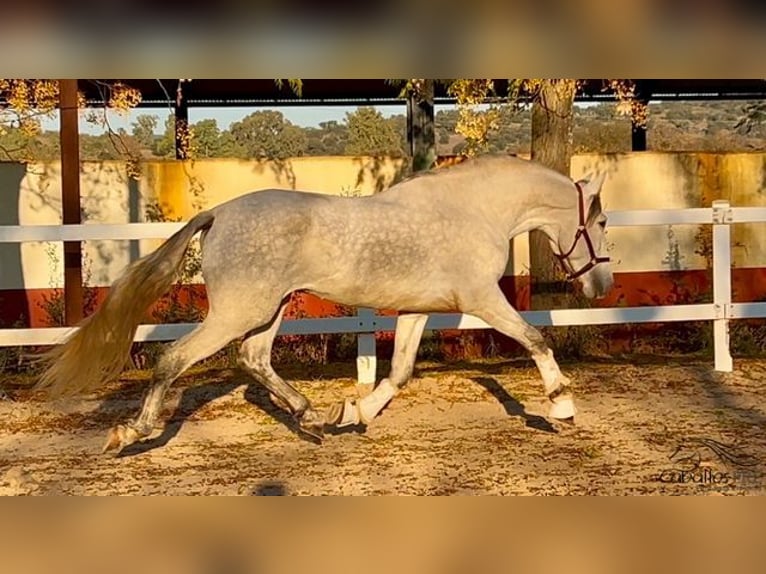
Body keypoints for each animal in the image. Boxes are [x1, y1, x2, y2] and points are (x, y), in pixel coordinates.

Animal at [36, 156, 616, 454]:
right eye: (604, 221)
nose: (603, 284)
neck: (474, 211)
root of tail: (219, 213)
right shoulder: (482, 298)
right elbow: (535, 338)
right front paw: (562, 407)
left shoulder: (416, 309)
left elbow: (399, 372)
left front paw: (355, 411)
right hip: (239, 311)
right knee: (175, 359)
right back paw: (130, 432)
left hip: (270, 309)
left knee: (253, 360)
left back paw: (314, 417)